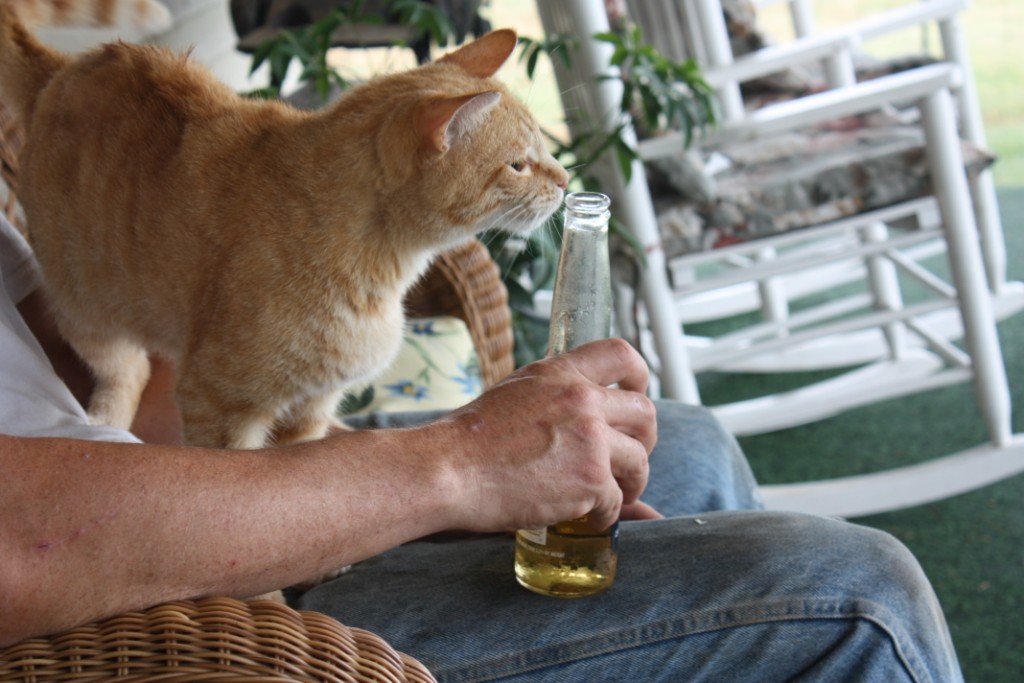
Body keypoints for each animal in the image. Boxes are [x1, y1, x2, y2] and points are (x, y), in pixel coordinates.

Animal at [0, 7, 569, 448]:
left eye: (544, 151)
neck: (380, 269)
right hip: (85, 307)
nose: (565, 180)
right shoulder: (215, 403)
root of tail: (67, 65)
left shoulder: (312, 406)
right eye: (519, 165)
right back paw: (106, 420)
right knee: (126, 368)